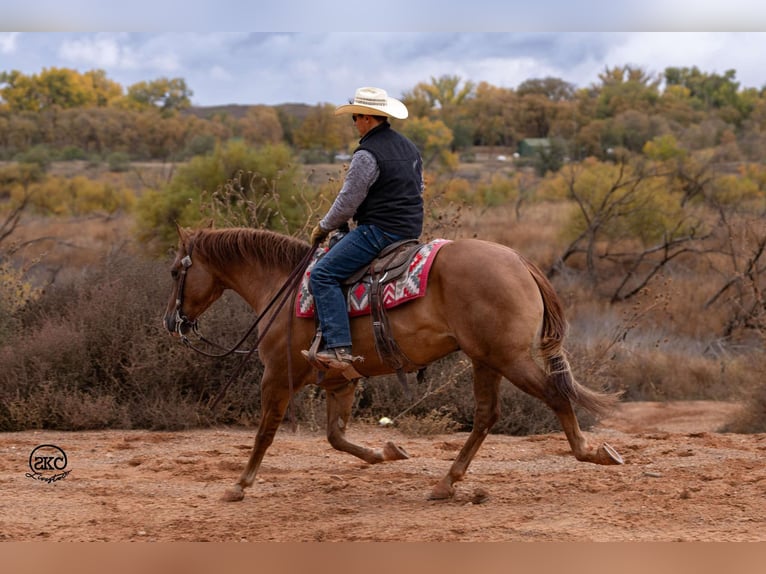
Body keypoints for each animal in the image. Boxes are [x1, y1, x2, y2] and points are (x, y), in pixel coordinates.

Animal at [162, 227, 624, 502]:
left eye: (173, 272)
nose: (170, 322)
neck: (282, 288)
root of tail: (521, 262)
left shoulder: (275, 376)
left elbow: (264, 433)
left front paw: (239, 485)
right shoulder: (339, 381)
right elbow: (336, 437)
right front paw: (387, 451)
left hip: (509, 359)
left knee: (554, 396)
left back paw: (594, 452)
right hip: (486, 360)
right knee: (486, 416)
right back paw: (445, 483)